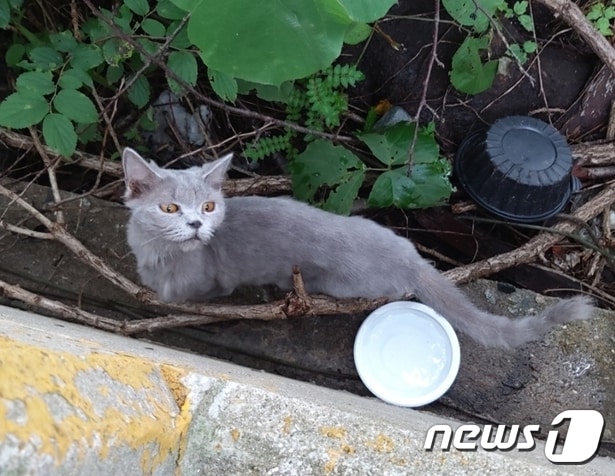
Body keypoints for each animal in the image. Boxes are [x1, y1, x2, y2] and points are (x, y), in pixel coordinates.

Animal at [121, 149, 592, 350]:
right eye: (169, 207)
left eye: (208, 206)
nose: (197, 224)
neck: (156, 251)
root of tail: (408, 254)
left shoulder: (211, 283)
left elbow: (184, 294)